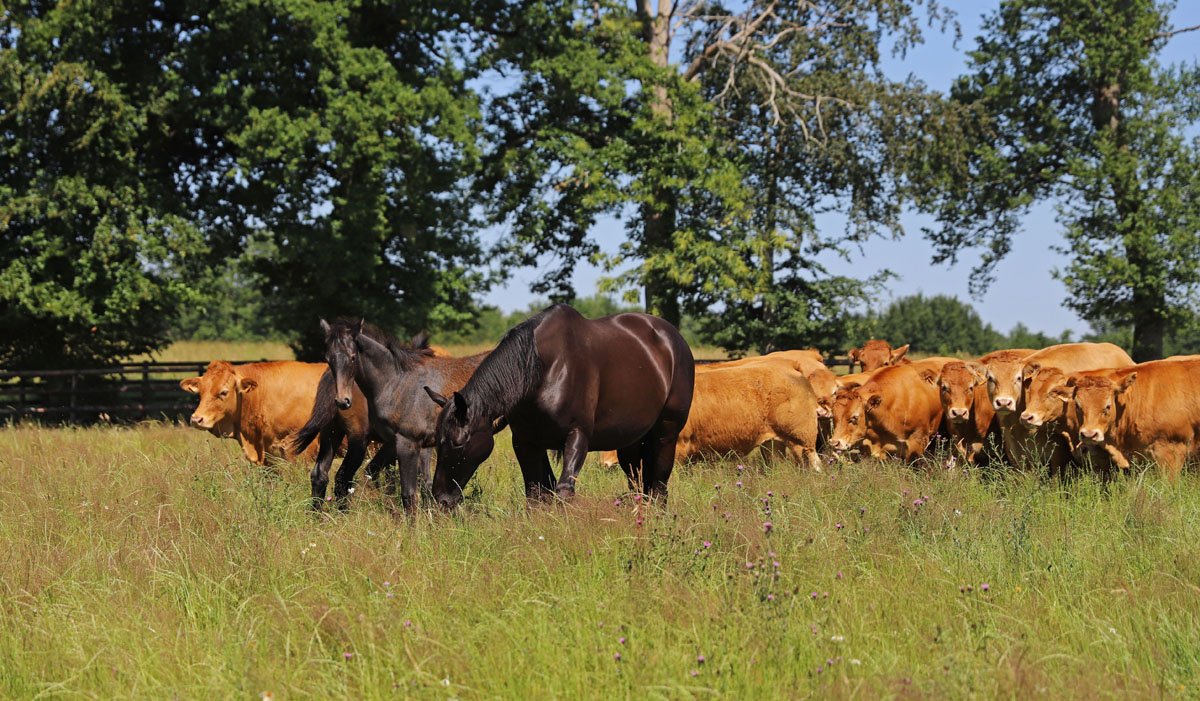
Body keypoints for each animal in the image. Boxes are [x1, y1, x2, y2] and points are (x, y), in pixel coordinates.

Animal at [292, 319, 488, 511]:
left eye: (353, 357)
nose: (342, 401)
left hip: (333, 434)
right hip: (355, 439)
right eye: (327, 359)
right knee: (342, 477)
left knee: (322, 474)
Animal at [423, 304, 694, 508]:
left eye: (459, 443)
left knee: (659, 485)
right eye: (437, 441)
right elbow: (536, 492)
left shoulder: (577, 436)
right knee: (637, 482)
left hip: (666, 434)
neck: (544, 370)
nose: (441, 499)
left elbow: (564, 491)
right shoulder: (525, 442)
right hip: (630, 441)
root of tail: (674, 339)